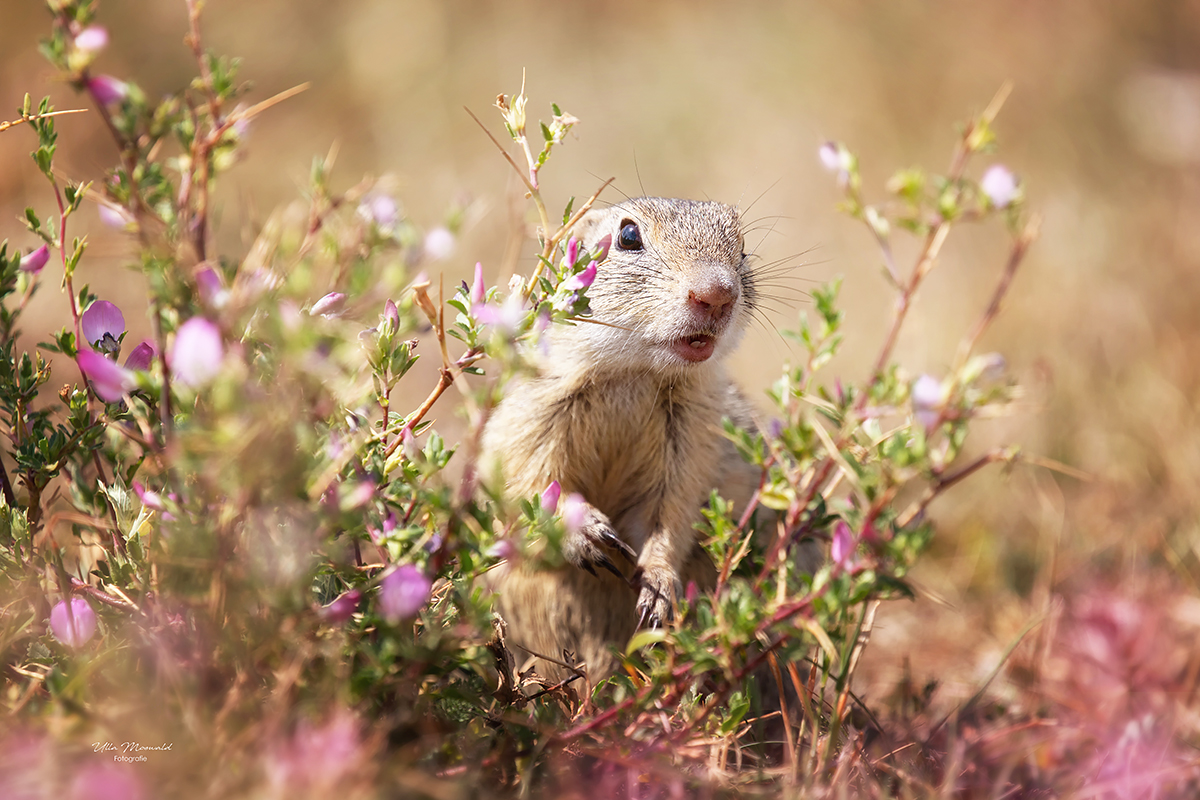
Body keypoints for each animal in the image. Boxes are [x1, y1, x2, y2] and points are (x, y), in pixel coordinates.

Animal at [482, 195, 763, 681]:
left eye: (743, 247)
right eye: (629, 236)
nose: (717, 294)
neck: (636, 373)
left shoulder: (692, 439)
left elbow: (670, 512)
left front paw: (659, 585)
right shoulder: (531, 414)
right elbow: (527, 481)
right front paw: (584, 531)